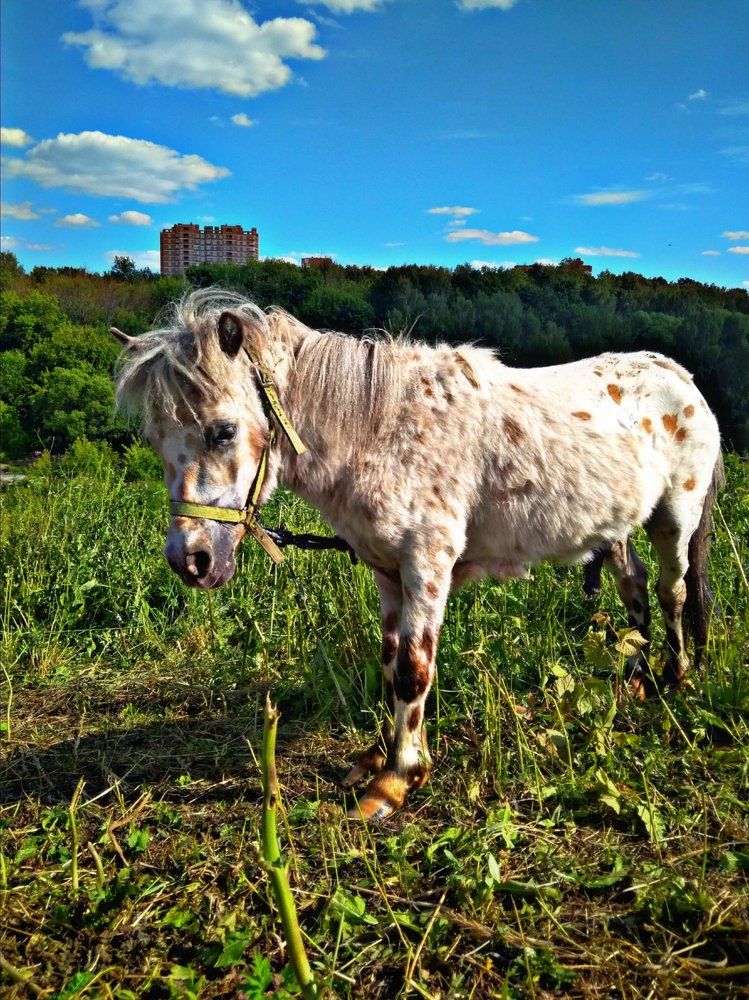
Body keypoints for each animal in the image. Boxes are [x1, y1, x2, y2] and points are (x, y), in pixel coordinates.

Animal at [113, 290, 723, 821]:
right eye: (155, 439)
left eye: (222, 431)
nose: (190, 560)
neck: (379, 431)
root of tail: (678, 375)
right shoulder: (388, 573)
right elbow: (389, 663)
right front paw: (382, 756)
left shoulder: (427, 565)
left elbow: (413, 669)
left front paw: (397, 781)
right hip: (615, 528)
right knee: (634, 586)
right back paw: (636, 677)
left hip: (675, 516)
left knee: (672, 591)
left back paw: (674, 677)